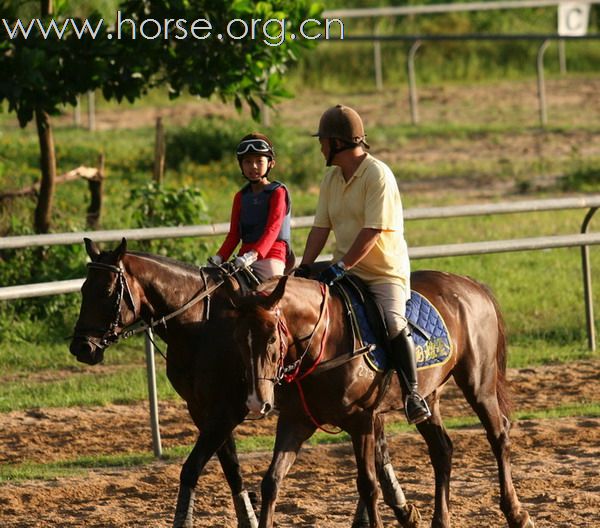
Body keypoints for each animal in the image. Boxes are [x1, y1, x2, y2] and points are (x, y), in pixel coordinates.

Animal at [68, 239, 420, 528]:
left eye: (108, 292)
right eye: (83, 290)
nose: (81, 348)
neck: (200, 324)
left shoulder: (227, 411)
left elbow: (192, 468)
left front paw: (185, 520)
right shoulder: (203, 410)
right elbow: (231, 468)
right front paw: (248, 518)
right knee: (379, 450)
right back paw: (401, 510)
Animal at [230, 272, 536, 528]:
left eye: (271, 338)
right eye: (238, 340)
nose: (257, 402)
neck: (323, 342)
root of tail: (471, 284)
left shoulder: (361, 420)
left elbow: (368, 485)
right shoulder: (296, 420)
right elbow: (271, 481)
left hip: (479, 383)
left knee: (499, 436)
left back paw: (517, 513)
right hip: (429, 396)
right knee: (442, 450)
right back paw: (442, 520)